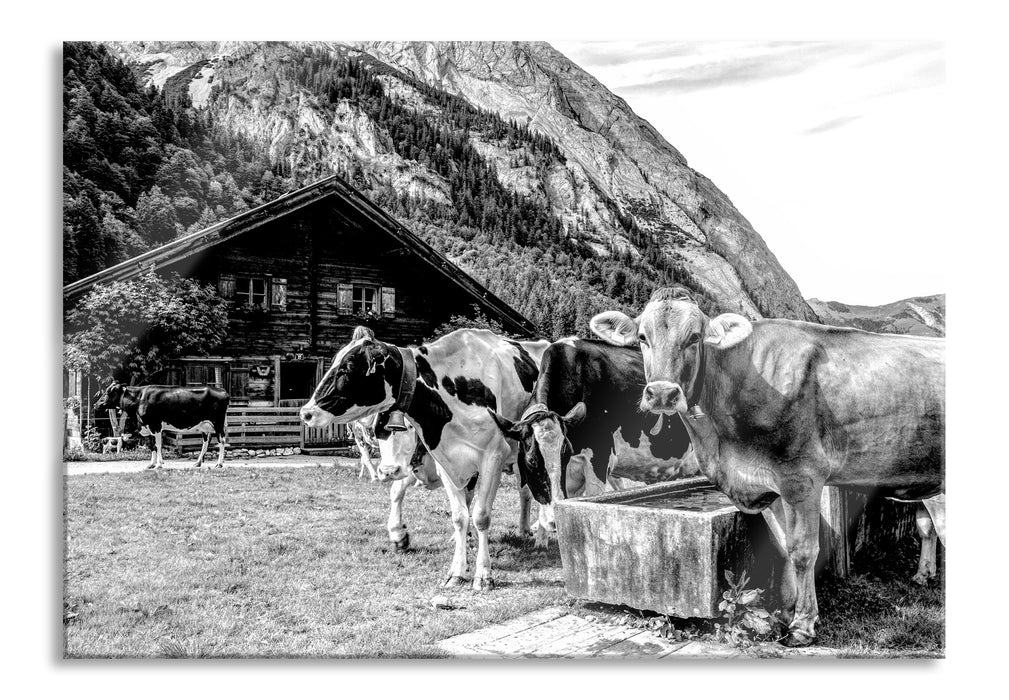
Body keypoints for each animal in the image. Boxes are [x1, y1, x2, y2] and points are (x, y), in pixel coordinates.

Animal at [93, 382, 230, 469]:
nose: (96, 404)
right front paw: (151, 464)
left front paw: (159, 465)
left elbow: (158, 445)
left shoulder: (156, 426)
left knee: (221, 441)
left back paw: (219, 464)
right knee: (206, 442)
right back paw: (197, 463)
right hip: (205, 426)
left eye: (109, 391)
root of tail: (222, 391)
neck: (139, 399)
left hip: (218, 423)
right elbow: (152, 446)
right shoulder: (148, 428)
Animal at [301, 329, 549, 590]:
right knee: (523, 492)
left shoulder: (493, 455)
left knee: (537, 490)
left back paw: (541, 536)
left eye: (348, 367)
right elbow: (458, 515)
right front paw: (454, 569)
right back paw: (523, 529)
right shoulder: (445, 462)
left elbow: (481, 515)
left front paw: (483, 574)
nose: (306, 412)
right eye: (380, 430)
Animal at [590, 285, 945, 646]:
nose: (662, 393)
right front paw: (786, 615)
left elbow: (803, 550)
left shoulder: (801, 477)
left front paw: (803, 626)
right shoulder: (769, 485)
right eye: (643, 338)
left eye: (695, 337)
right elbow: (784, 548)